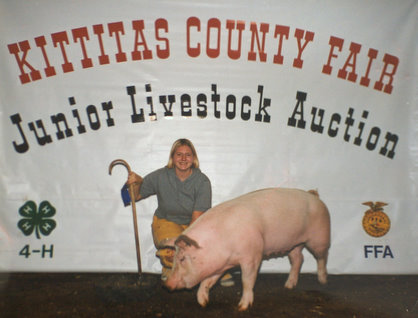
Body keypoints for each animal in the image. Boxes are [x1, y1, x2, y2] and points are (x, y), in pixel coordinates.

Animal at [162, 188, 330, 312]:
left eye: (182, 258)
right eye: (175, 257)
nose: (167, 285)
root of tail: (313, 195)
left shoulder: (253, 257)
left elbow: (247, 280)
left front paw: (242, 307)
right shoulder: (219, 265)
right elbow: (207, 281)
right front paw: (203, 302)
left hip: (319, 238)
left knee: (322, 256)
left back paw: (323, 281)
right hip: (295, 243)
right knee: (298, 258)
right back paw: (288, 286)